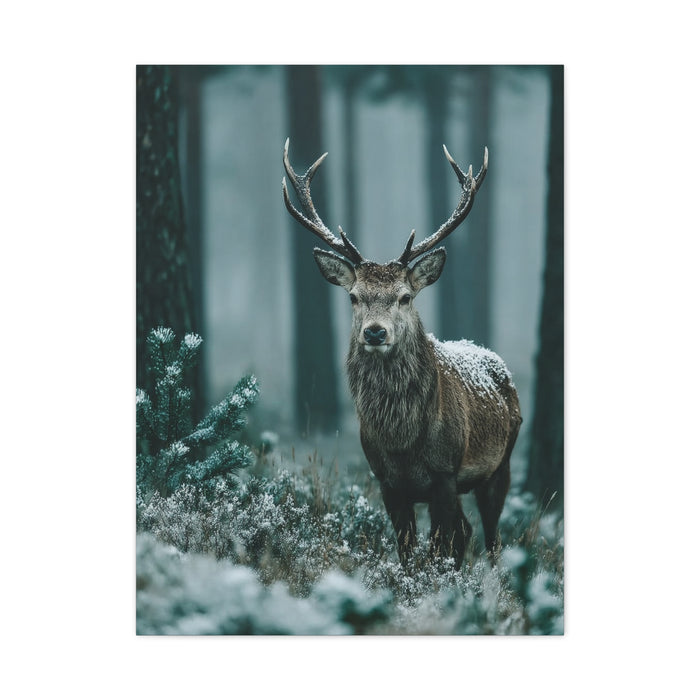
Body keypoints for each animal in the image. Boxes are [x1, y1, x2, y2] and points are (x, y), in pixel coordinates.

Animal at [282, 138, 522, 570]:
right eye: (354, 296)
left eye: (405, 296)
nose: (375, 331)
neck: (402, 441)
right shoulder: (387, 481)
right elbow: (408, 549)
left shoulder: (445, 472)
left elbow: (441, 546)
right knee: (467, 531)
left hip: (501, 464)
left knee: (492, 538)